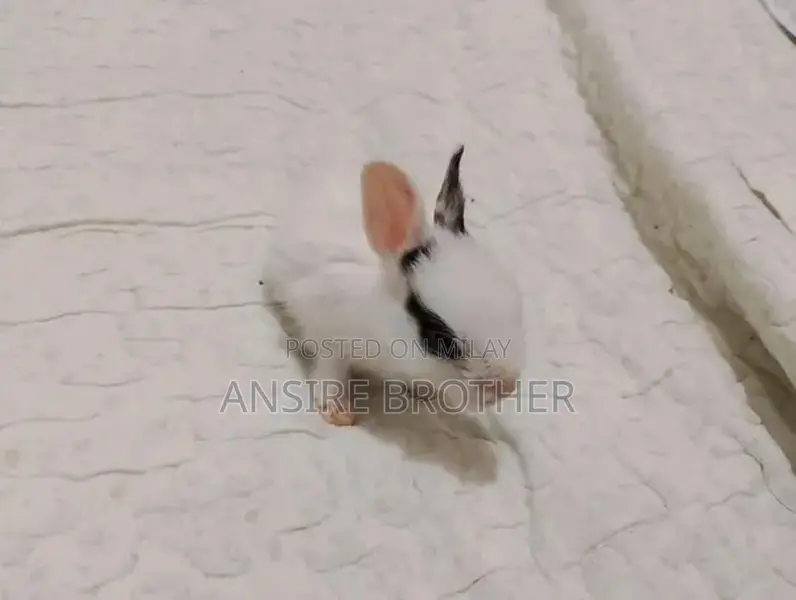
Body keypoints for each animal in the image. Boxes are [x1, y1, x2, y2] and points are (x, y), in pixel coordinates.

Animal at [262, 145, 525, 426]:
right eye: (439, 339)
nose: (507, 385)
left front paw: (423, 392)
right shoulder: (328, 337)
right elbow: (329, 375)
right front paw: (339, 413)